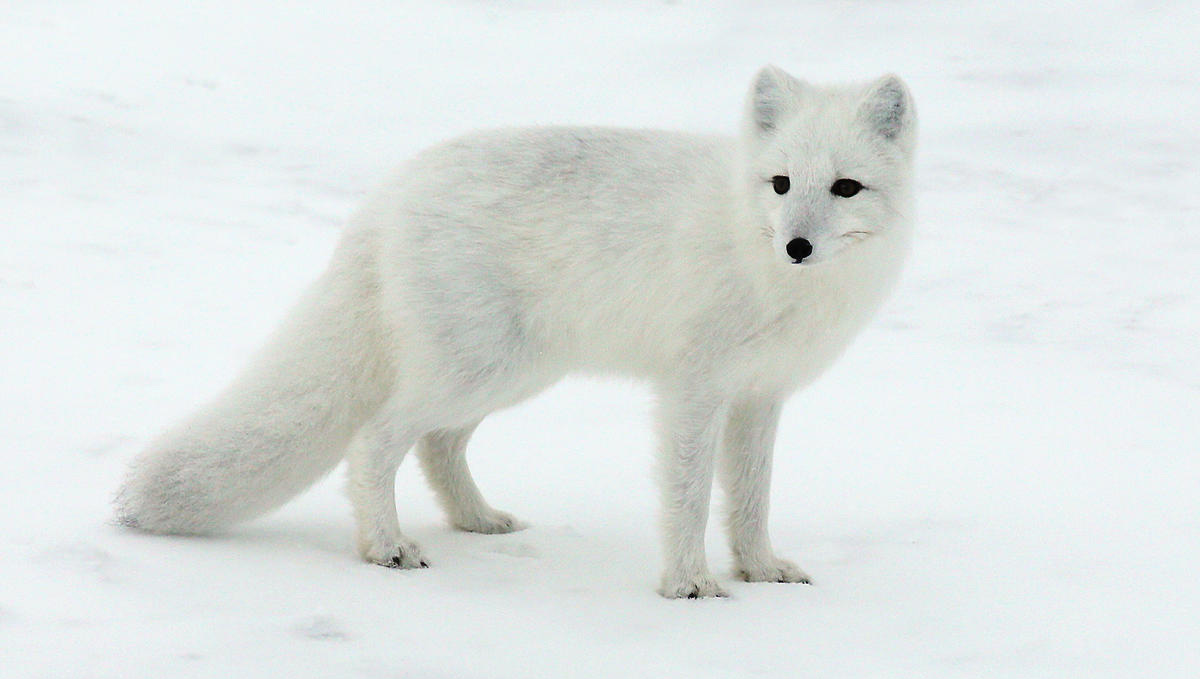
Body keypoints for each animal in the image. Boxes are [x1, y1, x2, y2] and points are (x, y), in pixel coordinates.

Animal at [114, 65, 916, 599]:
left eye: (845, 187)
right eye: (780, 184)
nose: (796, 246)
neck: (765, 263)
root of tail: (386, 196)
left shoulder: (759, 395)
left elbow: (750, 498)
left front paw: (760, 569)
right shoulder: (693, 390)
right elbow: (688, 497)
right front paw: (689, 586)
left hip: (512, 373)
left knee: (438, 447)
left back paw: (476, 521)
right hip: (480, 368)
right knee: (376, 441)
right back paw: (387, 547)